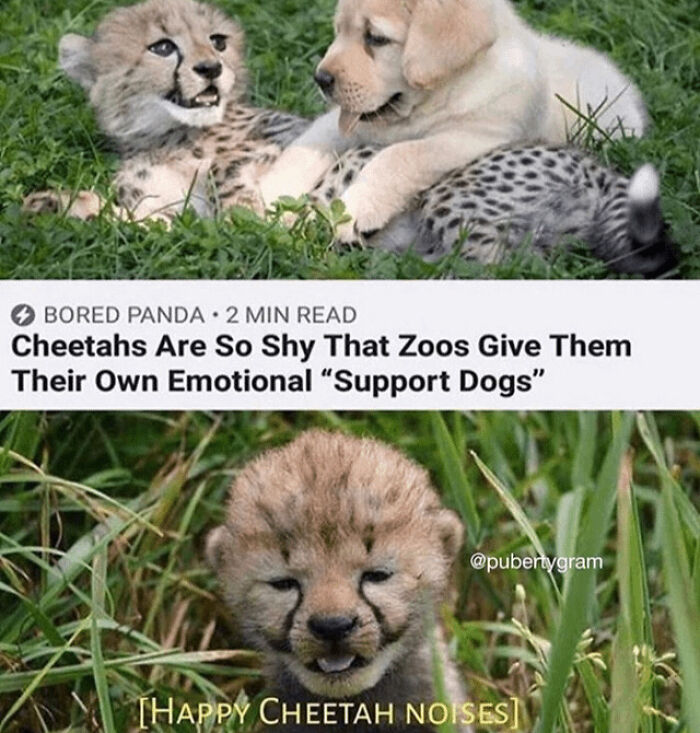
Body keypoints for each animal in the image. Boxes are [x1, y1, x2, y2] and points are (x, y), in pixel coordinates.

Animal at [23, 0, 677, 277]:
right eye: (162, 47)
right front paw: (55, 204)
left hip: (459, 201)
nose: (211, 70)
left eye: (217, 41)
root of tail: (599, 170)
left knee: (498, 267)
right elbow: (136, 218)